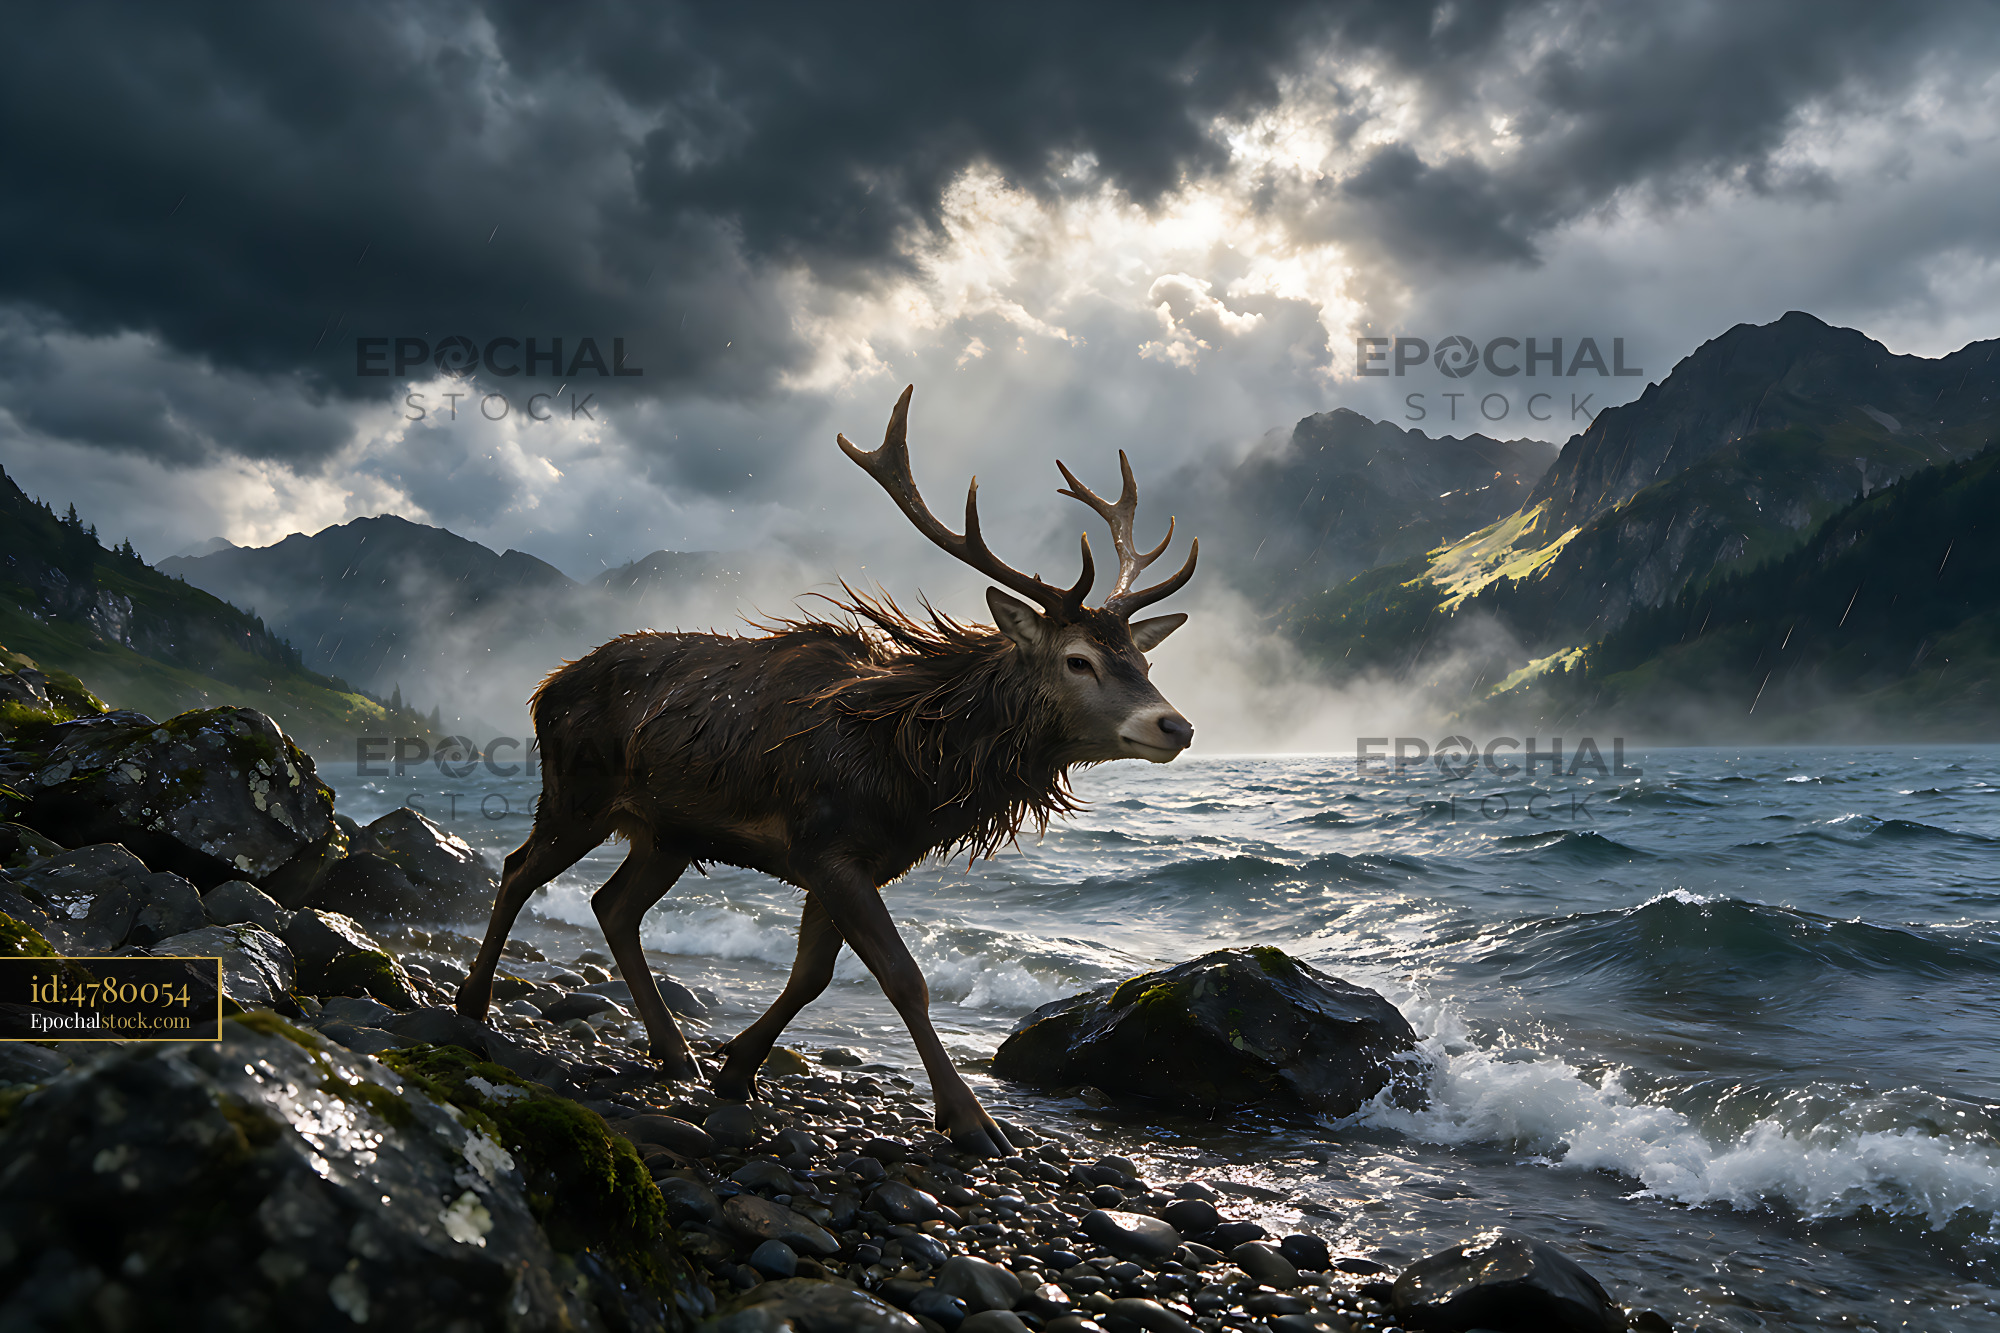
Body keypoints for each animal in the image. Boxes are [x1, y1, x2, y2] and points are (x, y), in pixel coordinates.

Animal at [455, 385, 1196, 1155]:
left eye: (1143, 660)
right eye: (1078, 659)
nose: (1175, 725)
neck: (914, 772)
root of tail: (544, 687)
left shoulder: (855, 860)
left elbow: (812, 974)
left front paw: (736, 1069)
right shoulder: (826, 845)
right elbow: (904, 978)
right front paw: (972, 1121)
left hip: (668, 831)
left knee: (613, 904)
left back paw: (676, 1050)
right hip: (576, 793)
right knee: (518, 868)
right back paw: (474, 1003)